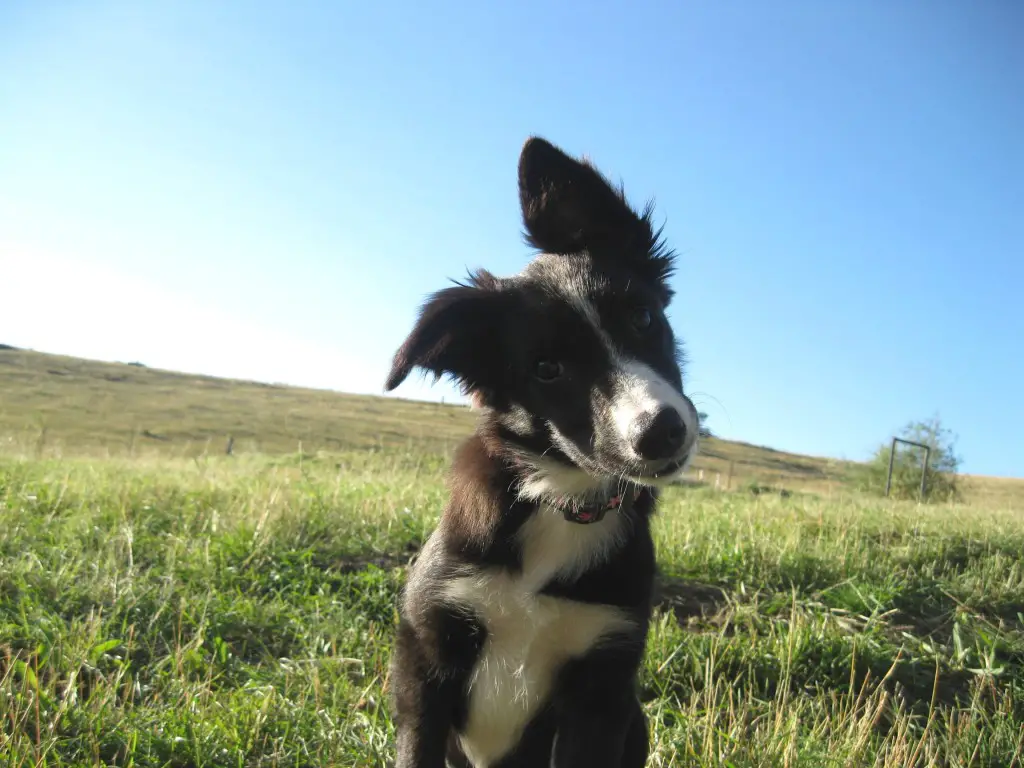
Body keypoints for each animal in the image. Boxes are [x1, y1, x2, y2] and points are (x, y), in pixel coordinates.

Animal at [385, 135, 704, 765]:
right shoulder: (426, 658)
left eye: (644, 316)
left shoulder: (602, 685)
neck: (562, 501)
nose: (661, 431)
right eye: (547, 369)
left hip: (635, 721)